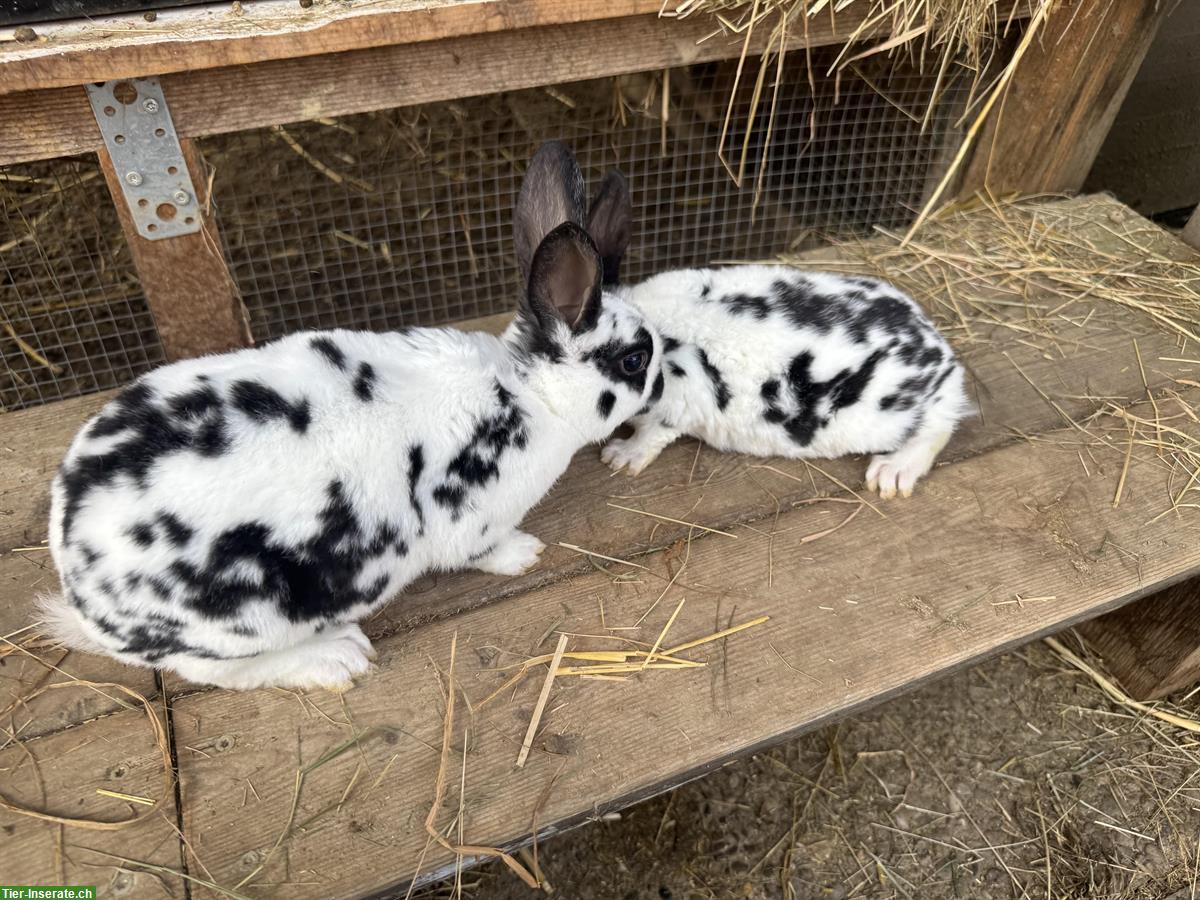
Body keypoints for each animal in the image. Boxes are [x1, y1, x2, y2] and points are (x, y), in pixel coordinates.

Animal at [40, 142, 664, 692]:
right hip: (243, 625)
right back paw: (338, 658)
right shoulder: (471, 520)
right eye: (636, 360)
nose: (663, 380)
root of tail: (80, 583)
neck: (530, 393)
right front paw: (525, 554)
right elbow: (482, 551)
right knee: (213, 671)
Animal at [581, 164, 970, 499]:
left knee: (939, 428)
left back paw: (891, 472)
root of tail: (942, 357)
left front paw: (620, 457)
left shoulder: (675, 406)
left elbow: (652, 435)